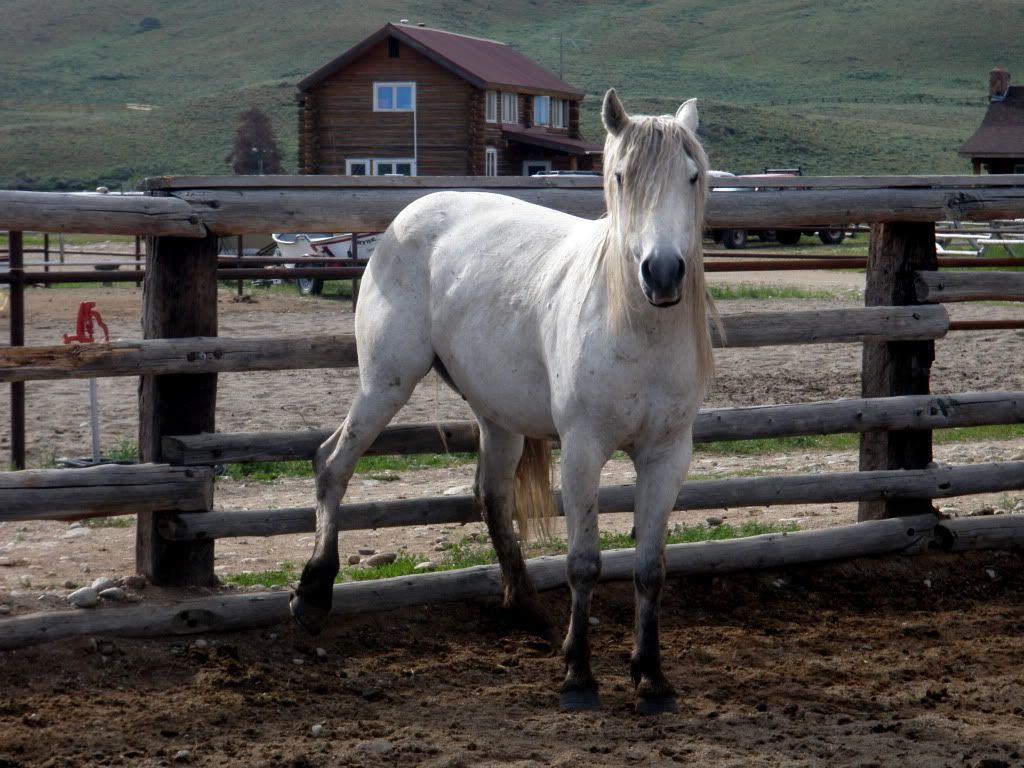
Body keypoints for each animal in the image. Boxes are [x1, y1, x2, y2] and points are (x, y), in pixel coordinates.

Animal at [292, 90, 716, 716]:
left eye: (692, 176)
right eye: (621, 176)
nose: (662, 273)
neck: (638, 329)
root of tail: (406, 217)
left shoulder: (668, 455)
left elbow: (649, 569)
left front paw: (652, 678)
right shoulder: (583, 450)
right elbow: (583, 563)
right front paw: (579, 676)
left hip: (497, 414)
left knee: (490, 494)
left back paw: (526, 608)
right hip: (385, 383)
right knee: (332, 464)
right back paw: (312, 593)